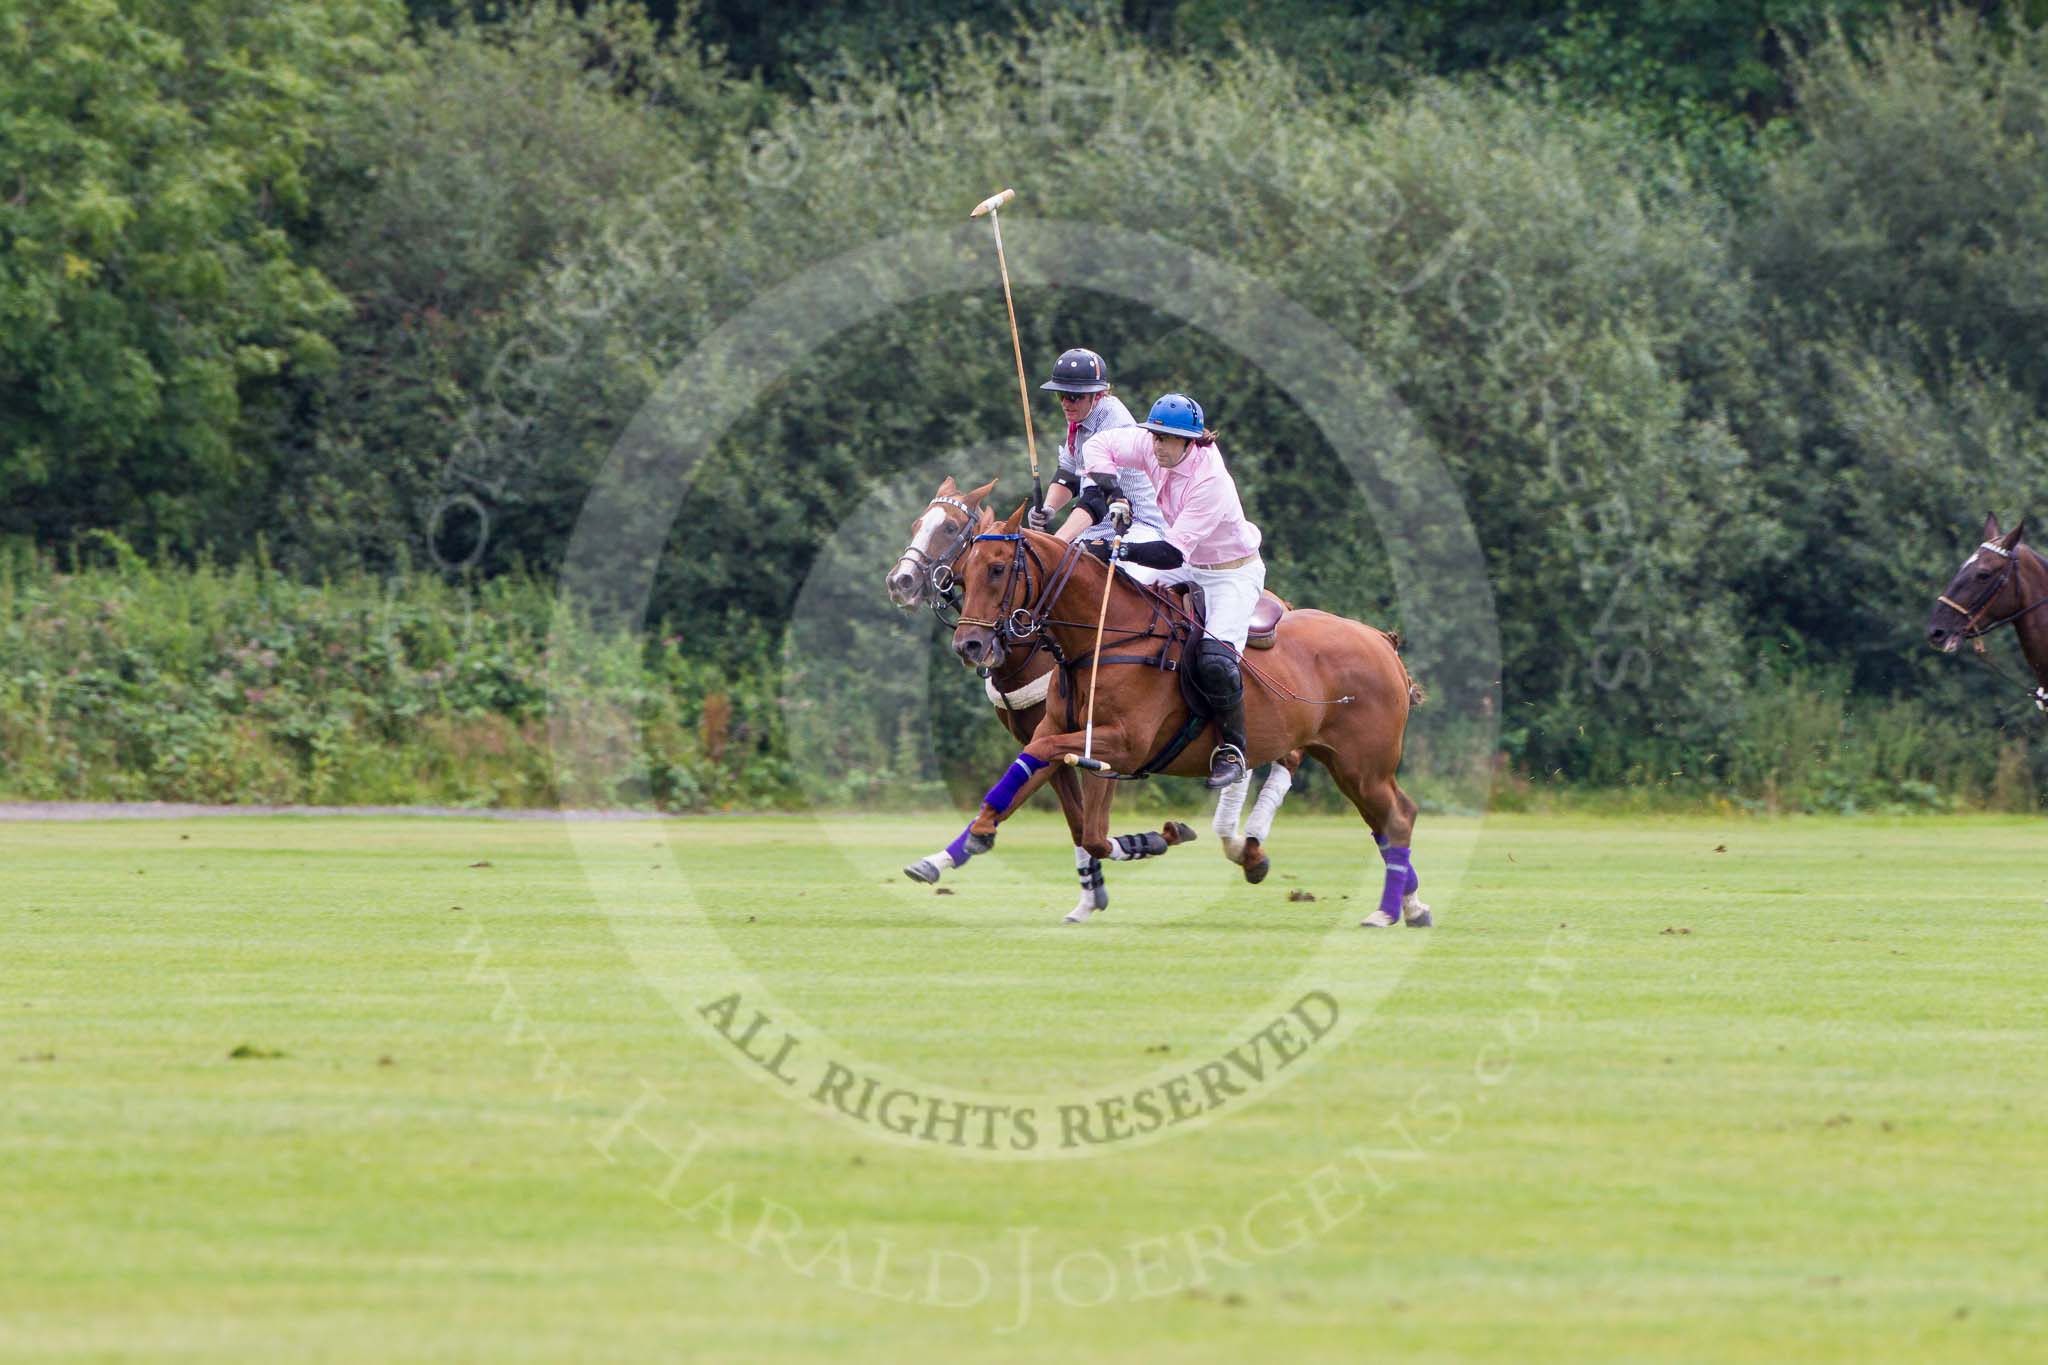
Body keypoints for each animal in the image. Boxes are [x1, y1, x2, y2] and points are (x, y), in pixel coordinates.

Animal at [913, 505, 1425, 929]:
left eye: (998, 569)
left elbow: (1067, 796)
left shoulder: (1121, 744)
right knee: (1386, 818)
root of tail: (1382, 642)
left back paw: (1384, 911)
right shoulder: (1070, 737)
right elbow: (1056, 802)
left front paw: (1159, 838)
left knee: (1396, 818)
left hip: (1363, 764)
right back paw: (1409, 905)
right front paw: (965, 841)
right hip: (1344, 761)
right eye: (963, 574)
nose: (969, 645)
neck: (1101, 638)